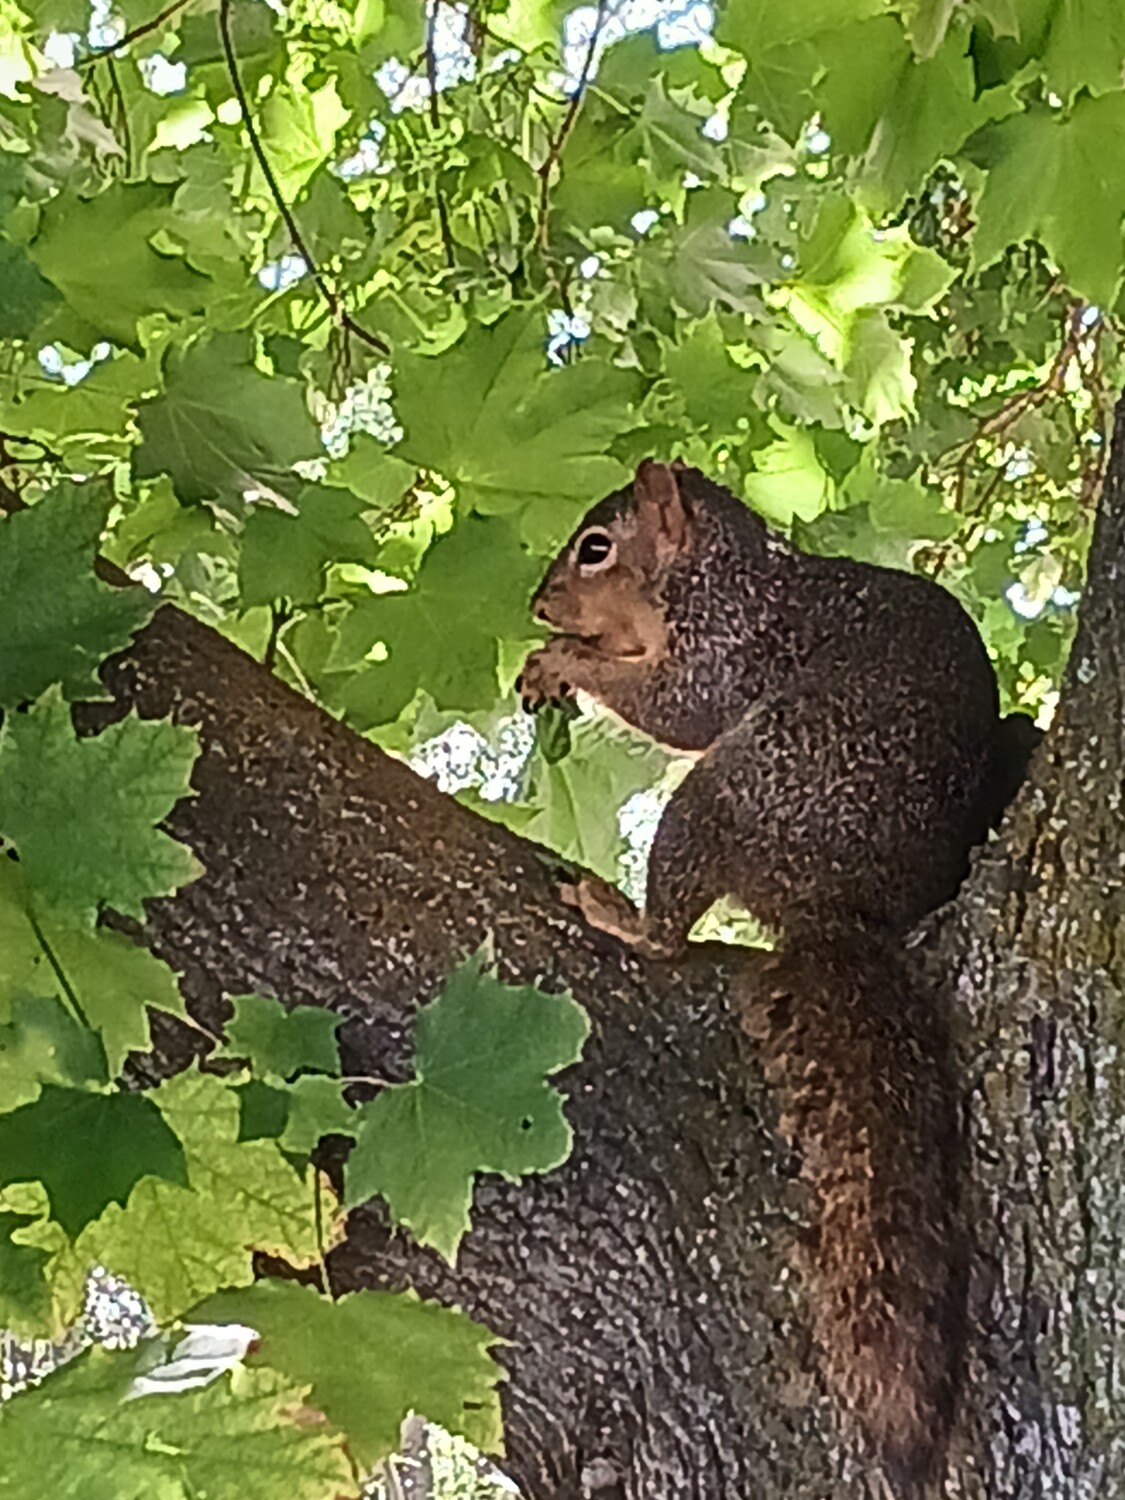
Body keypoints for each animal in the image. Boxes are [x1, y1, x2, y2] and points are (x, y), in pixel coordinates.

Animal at [518, 460, 1038, 1495]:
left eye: (596, 547)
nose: (538, 604)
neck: (721, 573)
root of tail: (833, 909)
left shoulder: (727, 647)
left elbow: (675, 708)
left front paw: (565, 662)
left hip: (741, 785)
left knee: (670, 930)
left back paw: (621, 917)